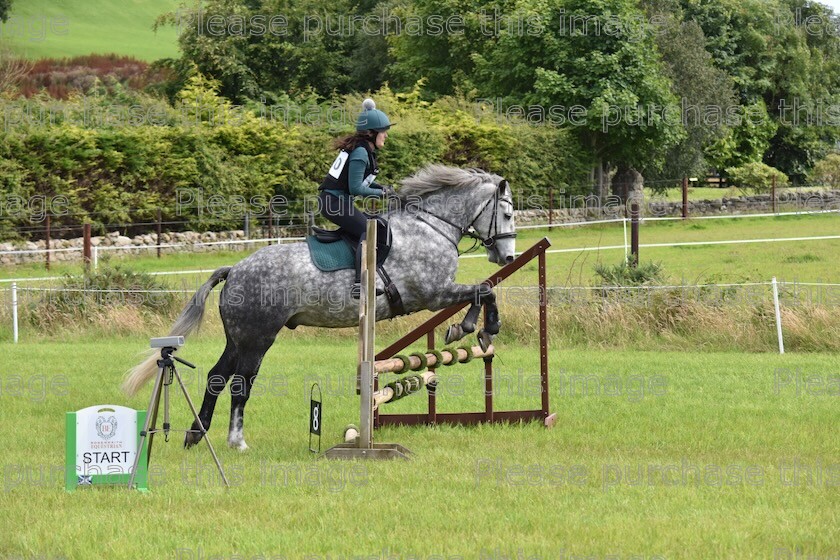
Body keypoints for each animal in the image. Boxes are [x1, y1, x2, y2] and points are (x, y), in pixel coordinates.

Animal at [123, 165, 520, 450]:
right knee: (241, 384)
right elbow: (483, 291)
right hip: (258, 338)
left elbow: (481, 292)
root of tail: (235, 269)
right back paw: (236, 441)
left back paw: (196, 434)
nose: (508, 257)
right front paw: (478, 328)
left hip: (238, 338)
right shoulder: (433, 293)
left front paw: (469, 329)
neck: (432, 226)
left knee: (217, 377)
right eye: (507, 214)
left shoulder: (439, 293)